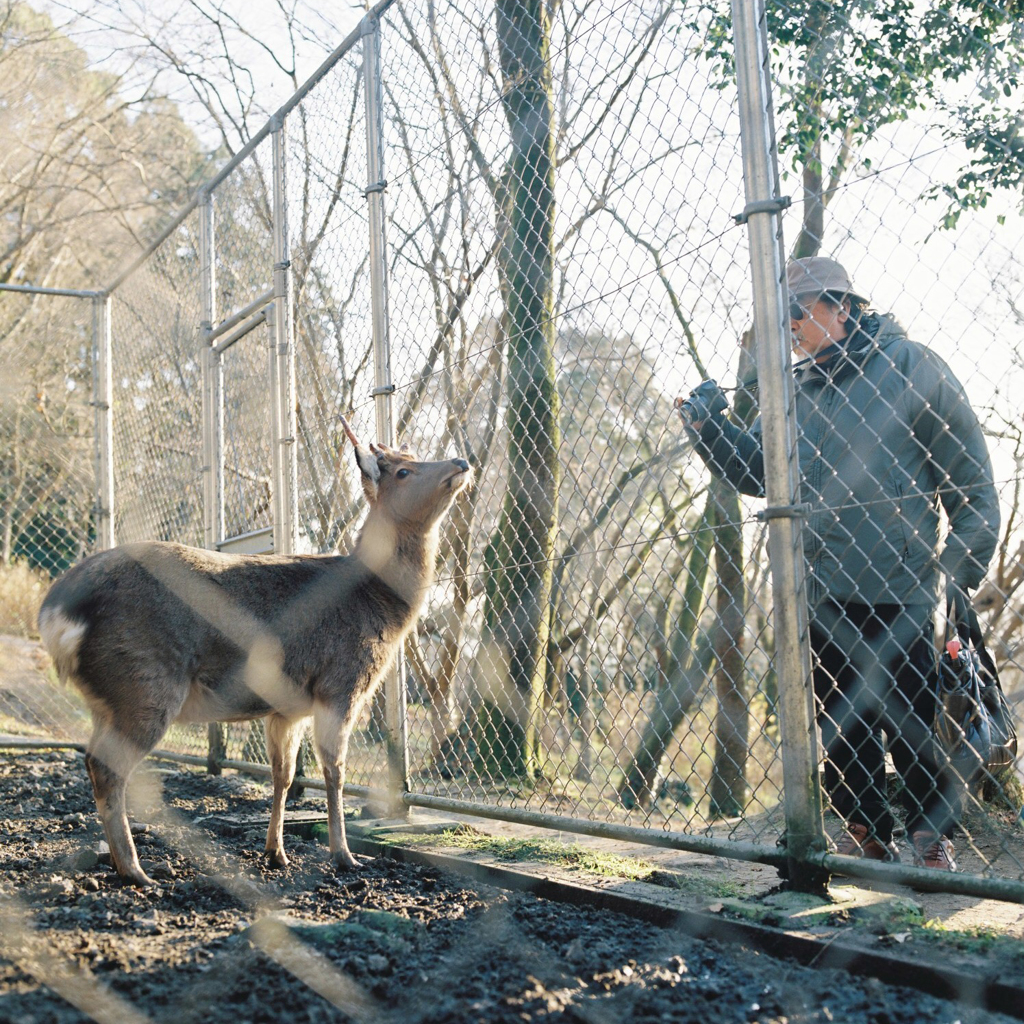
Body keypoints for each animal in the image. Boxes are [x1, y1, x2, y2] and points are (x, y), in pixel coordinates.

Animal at [38, 419, 471, 884]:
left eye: (412, 457)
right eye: (402, 470)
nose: (461, 462)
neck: (381, 604)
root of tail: (54, 612)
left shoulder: (287, 709)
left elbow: (283, 775)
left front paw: (275, 852)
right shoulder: (340, 685)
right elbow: (334, 773)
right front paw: (344, 855)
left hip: (107, 699)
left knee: (91, 758)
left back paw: (127, 863)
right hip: (145, 685)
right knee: (107, 767)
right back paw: (136, 870)